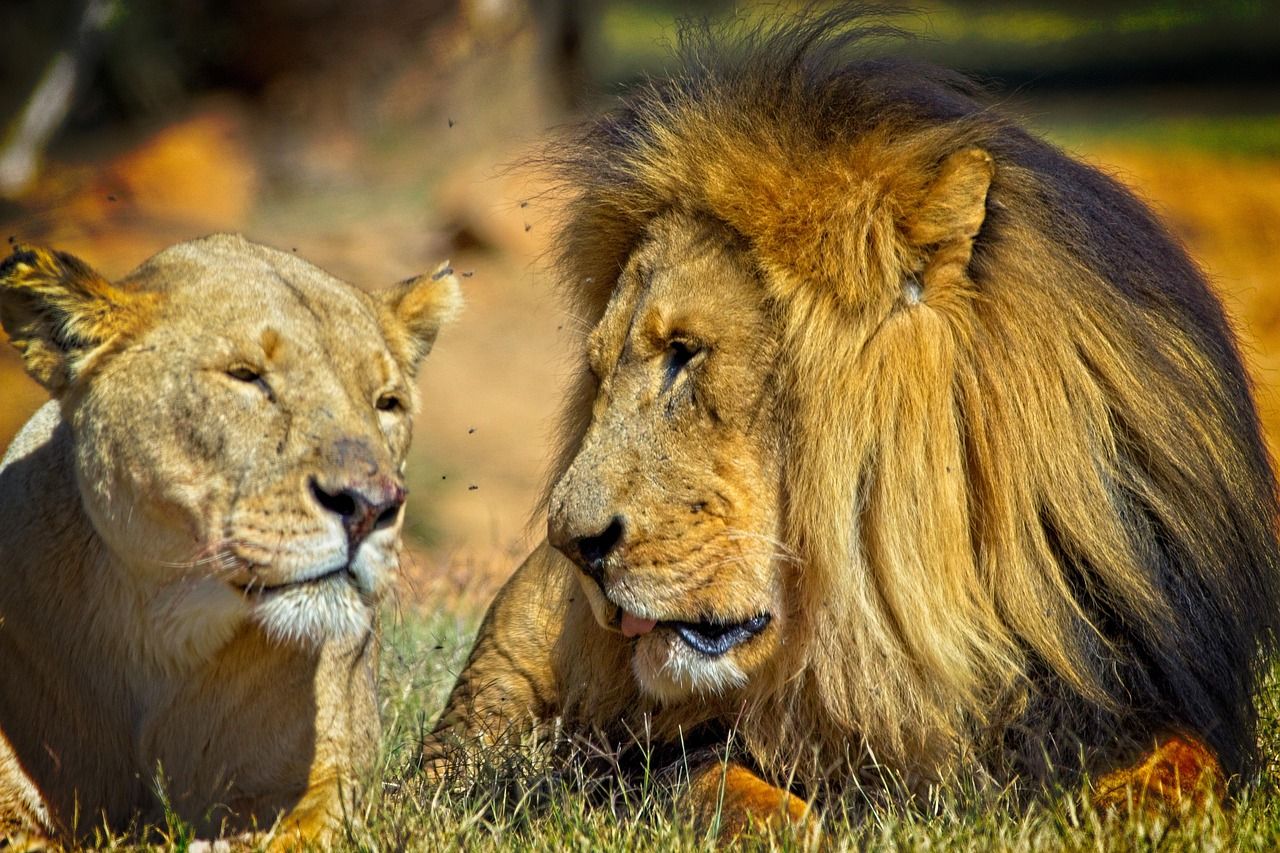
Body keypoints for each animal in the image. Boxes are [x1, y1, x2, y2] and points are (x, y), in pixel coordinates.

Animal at [425, 13, 1280, 836]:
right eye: (600, 372)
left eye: (685, 354)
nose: (573, 543)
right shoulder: (627, 755)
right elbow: (716, 780)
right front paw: (794, 825)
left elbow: (1188, 761)